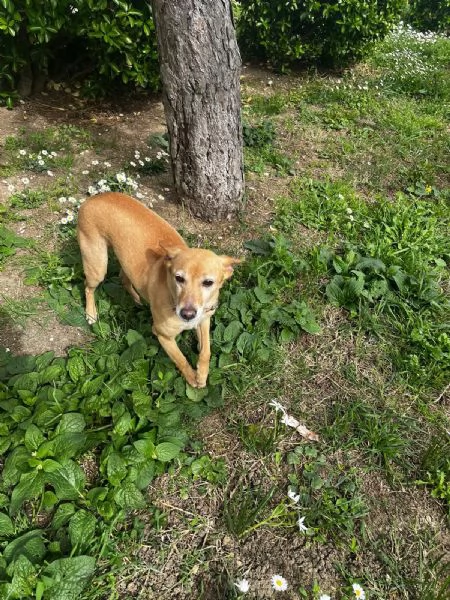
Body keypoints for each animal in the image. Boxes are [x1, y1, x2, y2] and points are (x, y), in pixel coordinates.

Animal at [77, 193, 239, 390]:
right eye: (179, 278)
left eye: (208, 282)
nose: (187, 314)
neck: (173, 297)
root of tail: (95, 197)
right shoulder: (163, 336)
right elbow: (181, 359)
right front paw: (191, 378)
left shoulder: (204, 320)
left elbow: (206, 351)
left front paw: (202, 374)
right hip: (97, 266)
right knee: (88, 287)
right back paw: (91, 313)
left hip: (125, 261)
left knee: (124, 278)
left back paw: (136, 298)